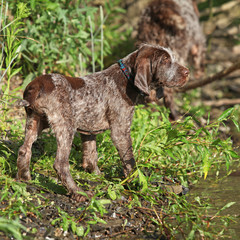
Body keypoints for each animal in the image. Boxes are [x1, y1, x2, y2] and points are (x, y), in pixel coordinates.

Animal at [16, 44, 189, 202]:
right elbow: (130, 162)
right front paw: (138, 185)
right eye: (165, 60)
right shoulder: (120, 130)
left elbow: (91, 154)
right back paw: (78, 192)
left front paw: (97, 175)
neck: (126, 78)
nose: (187, 72)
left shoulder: (88, 130)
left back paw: (24, 178)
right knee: (60, 164)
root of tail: (36, 86)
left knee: (24, 150)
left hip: (34, 121)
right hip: (65, 126)